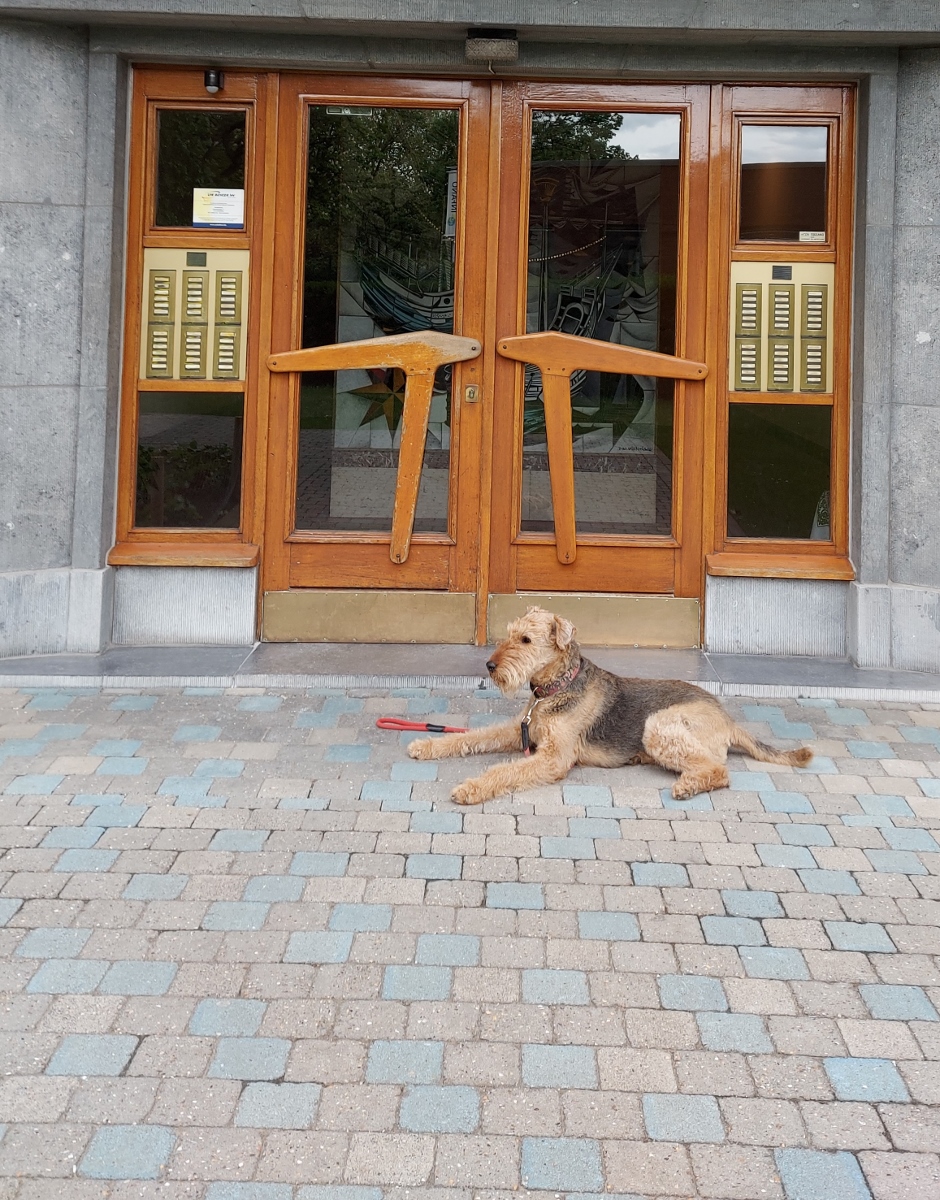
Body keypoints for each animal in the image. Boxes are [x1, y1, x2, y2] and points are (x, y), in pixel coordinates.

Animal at [408, 606, 812, 806]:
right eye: (509, 634)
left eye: (525, 640)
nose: (490, 666)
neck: (554, 689)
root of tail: (729, 720)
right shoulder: (520, 730)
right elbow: (471, 736)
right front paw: (425, 745)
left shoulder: (554, 757)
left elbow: (505, 771)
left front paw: (470, 788)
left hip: (659, 728)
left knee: (718, 770)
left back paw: (686, 786)